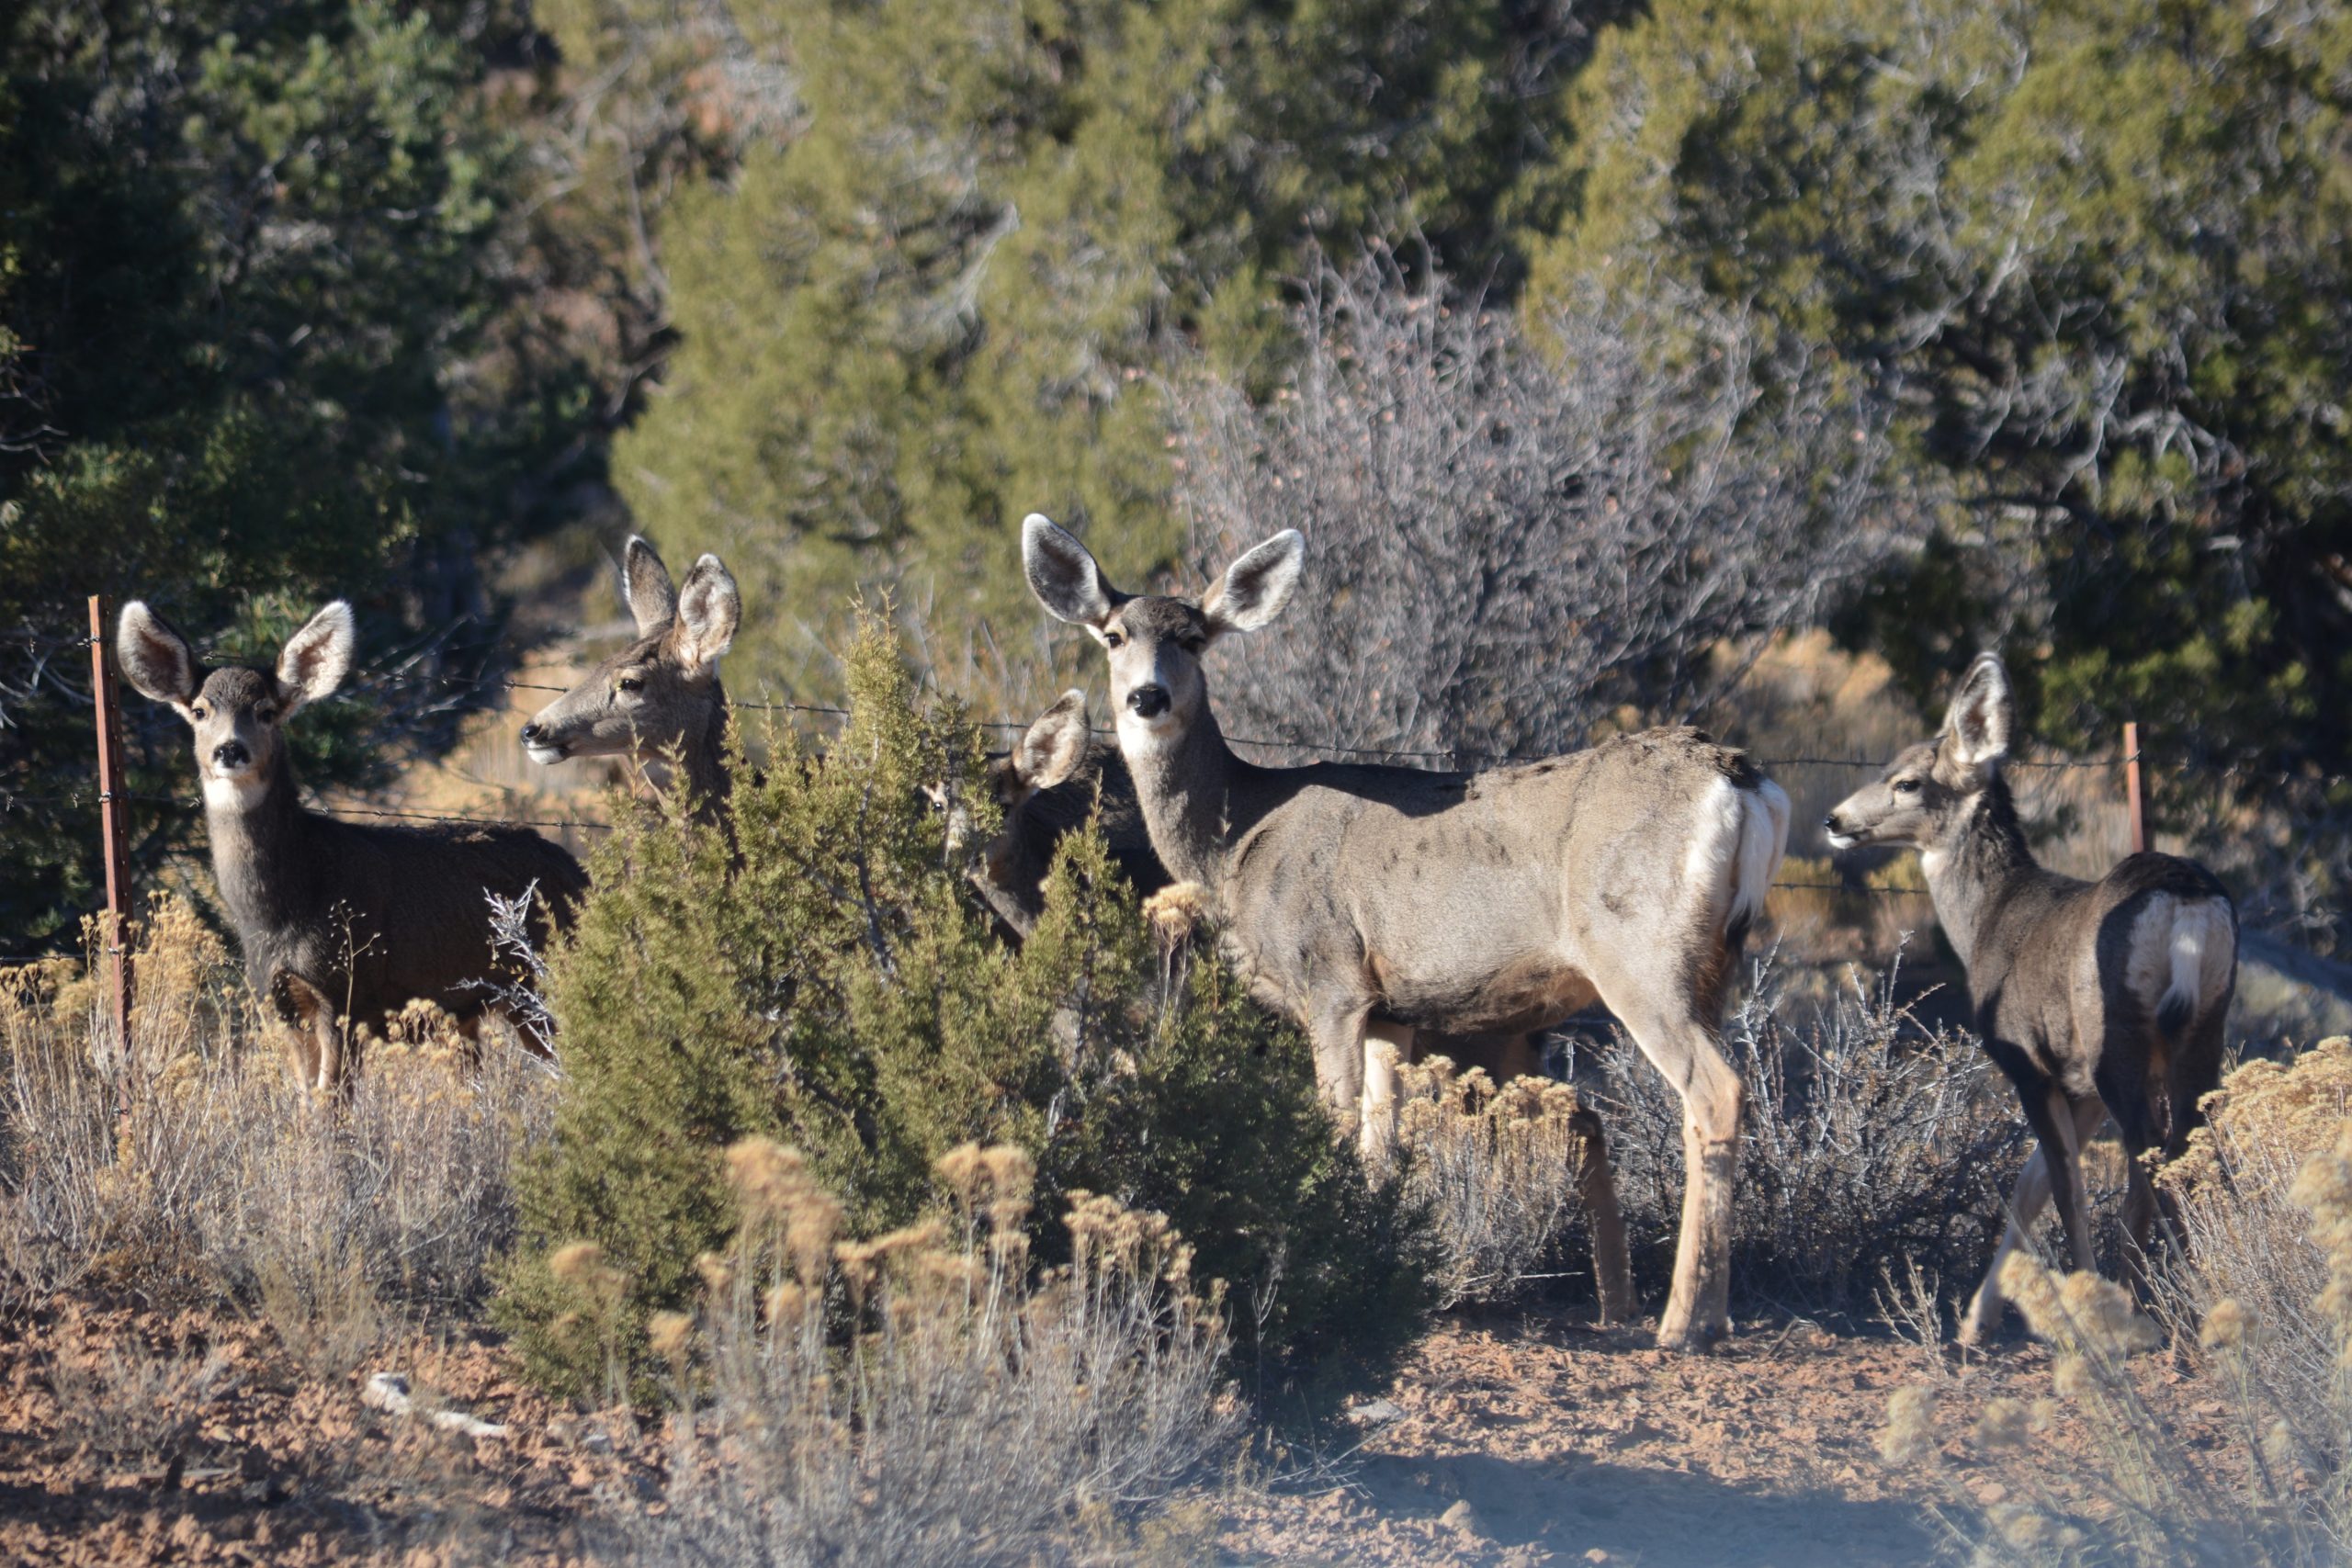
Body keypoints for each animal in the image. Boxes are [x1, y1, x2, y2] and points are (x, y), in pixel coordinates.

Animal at [117, 600, 589, 1092]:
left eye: (266, 710)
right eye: (200, 711)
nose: (230, 750)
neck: (285, 905)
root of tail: (580, 873)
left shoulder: (346, 992)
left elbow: (331, 1100)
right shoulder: (282, 1001)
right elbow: (307, 1099)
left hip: (543, 980)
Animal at [1021, 515, 1786, 1348]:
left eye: (1193, 637)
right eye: (1114, 634)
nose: (1147, 695)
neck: (1238, 837)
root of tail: (1743, 779)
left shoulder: (1330, 974)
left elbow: (1333, 1122)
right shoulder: (1392, 1007)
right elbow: (1380, 1139)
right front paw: (1378, 1259)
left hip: (1639, 951)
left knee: (1715, 1089)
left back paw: (1681, 1321)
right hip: (1716, 960)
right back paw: (1709, 1310)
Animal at [1823, 653, 2237, 1345]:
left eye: (1906, 781)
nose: (1834, 821)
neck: (1991, 918)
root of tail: (2186, 904)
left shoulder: (2031, 1064)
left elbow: (2065, 1190)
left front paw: (2085, 1311)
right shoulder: (2078, 1084)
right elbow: (2031, 1184)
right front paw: (1975, 1321)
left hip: (2117, 1039)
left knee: (2150, 1154)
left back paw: (2160, 1306)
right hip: (2204, 1028)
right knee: (2186, 1149)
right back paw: (2195, 1295)